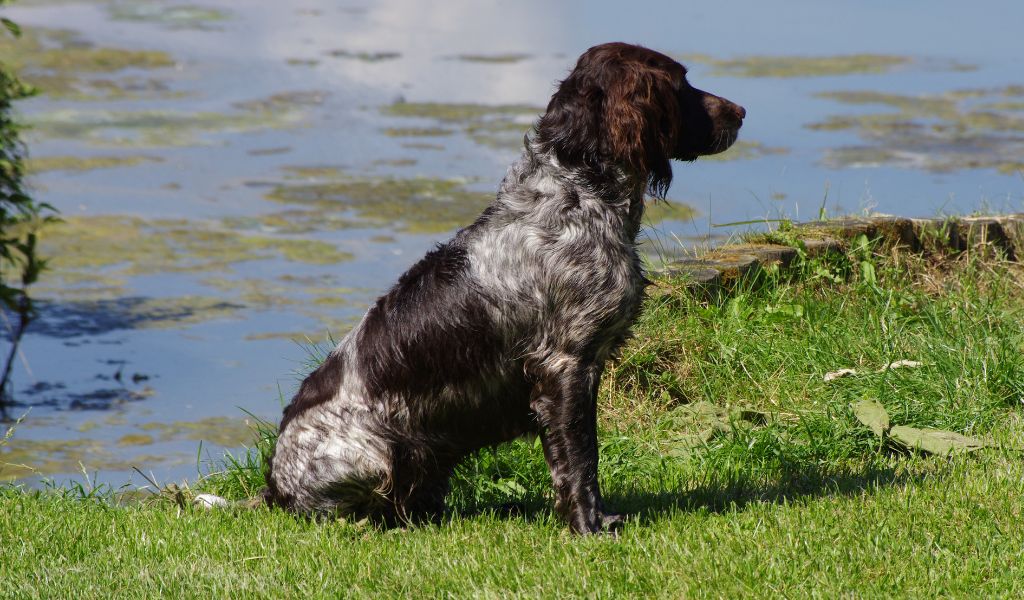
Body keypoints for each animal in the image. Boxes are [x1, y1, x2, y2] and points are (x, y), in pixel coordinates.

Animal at [264, 41, 745, 532]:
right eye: (680, 83)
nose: (741, 111)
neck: (577, 193)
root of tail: (275, 486)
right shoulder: (565, 366)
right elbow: (581, 458)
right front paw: (588, 525)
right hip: (375, 455)